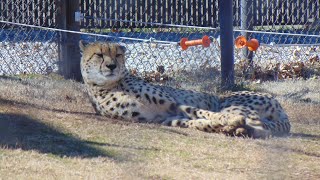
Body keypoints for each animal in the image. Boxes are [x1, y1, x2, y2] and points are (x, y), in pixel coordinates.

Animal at [79, 41, 290, 139]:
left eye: (118, 55)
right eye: (99, 55)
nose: (112, 66)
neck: (112, 84)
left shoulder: (173, 105)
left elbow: (204, 113)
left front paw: (228, 121)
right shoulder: (160, 118)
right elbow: (198, 121)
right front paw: (226, 124)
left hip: (235, 104)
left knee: (261, 127)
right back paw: (234, 129)